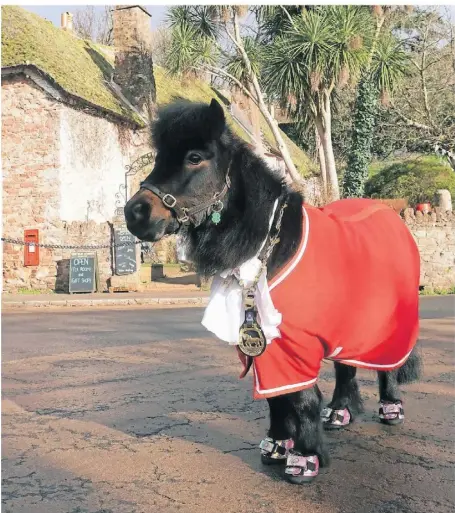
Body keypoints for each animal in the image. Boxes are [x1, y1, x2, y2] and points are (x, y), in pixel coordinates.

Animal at [124, 98, 420, 482]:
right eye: (159, 156)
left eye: (194, 156)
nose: (135, 213)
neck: (273, 249)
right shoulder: (264, 342)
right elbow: (276, 398)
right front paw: (278, 445)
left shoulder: (294, 344)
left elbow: (303, 398)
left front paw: (305, 459)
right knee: (346, 366)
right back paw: (340, 412)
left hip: (386, 327)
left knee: (388, 364)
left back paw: (391, 407)